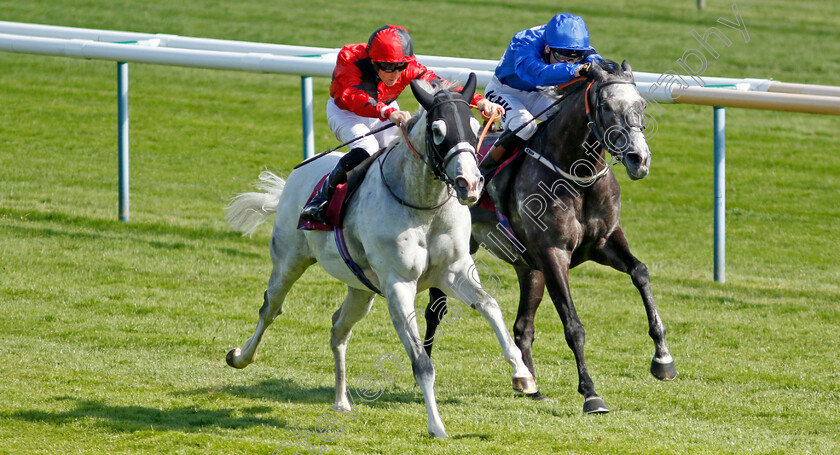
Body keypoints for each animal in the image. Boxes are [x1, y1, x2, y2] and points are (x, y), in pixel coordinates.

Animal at [226, 76, 536, 440]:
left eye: (476, 129)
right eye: (438, 131)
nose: (470, 184)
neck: (424, 205)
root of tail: (294, 180)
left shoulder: (454, 271)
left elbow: (490, 306)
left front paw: (522, 375)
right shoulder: (398, 284)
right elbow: (421, 361)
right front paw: (436, 425)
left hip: (361, 289)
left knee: (339, 328)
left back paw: (342, 402)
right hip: (289, 259)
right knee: (270, 307)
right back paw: (240, 356)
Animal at [426, 58, 676, 416]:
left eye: (641, 104)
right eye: (605, 105)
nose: (638, 160)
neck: (577, 177)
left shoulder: (604, 242)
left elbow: (641, 272)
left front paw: (663, 359)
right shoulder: (553, 253)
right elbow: (573, 326)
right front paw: (591, 394)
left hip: (529, 268)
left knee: (522, 327)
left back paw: (530, 384)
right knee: (435, 310)